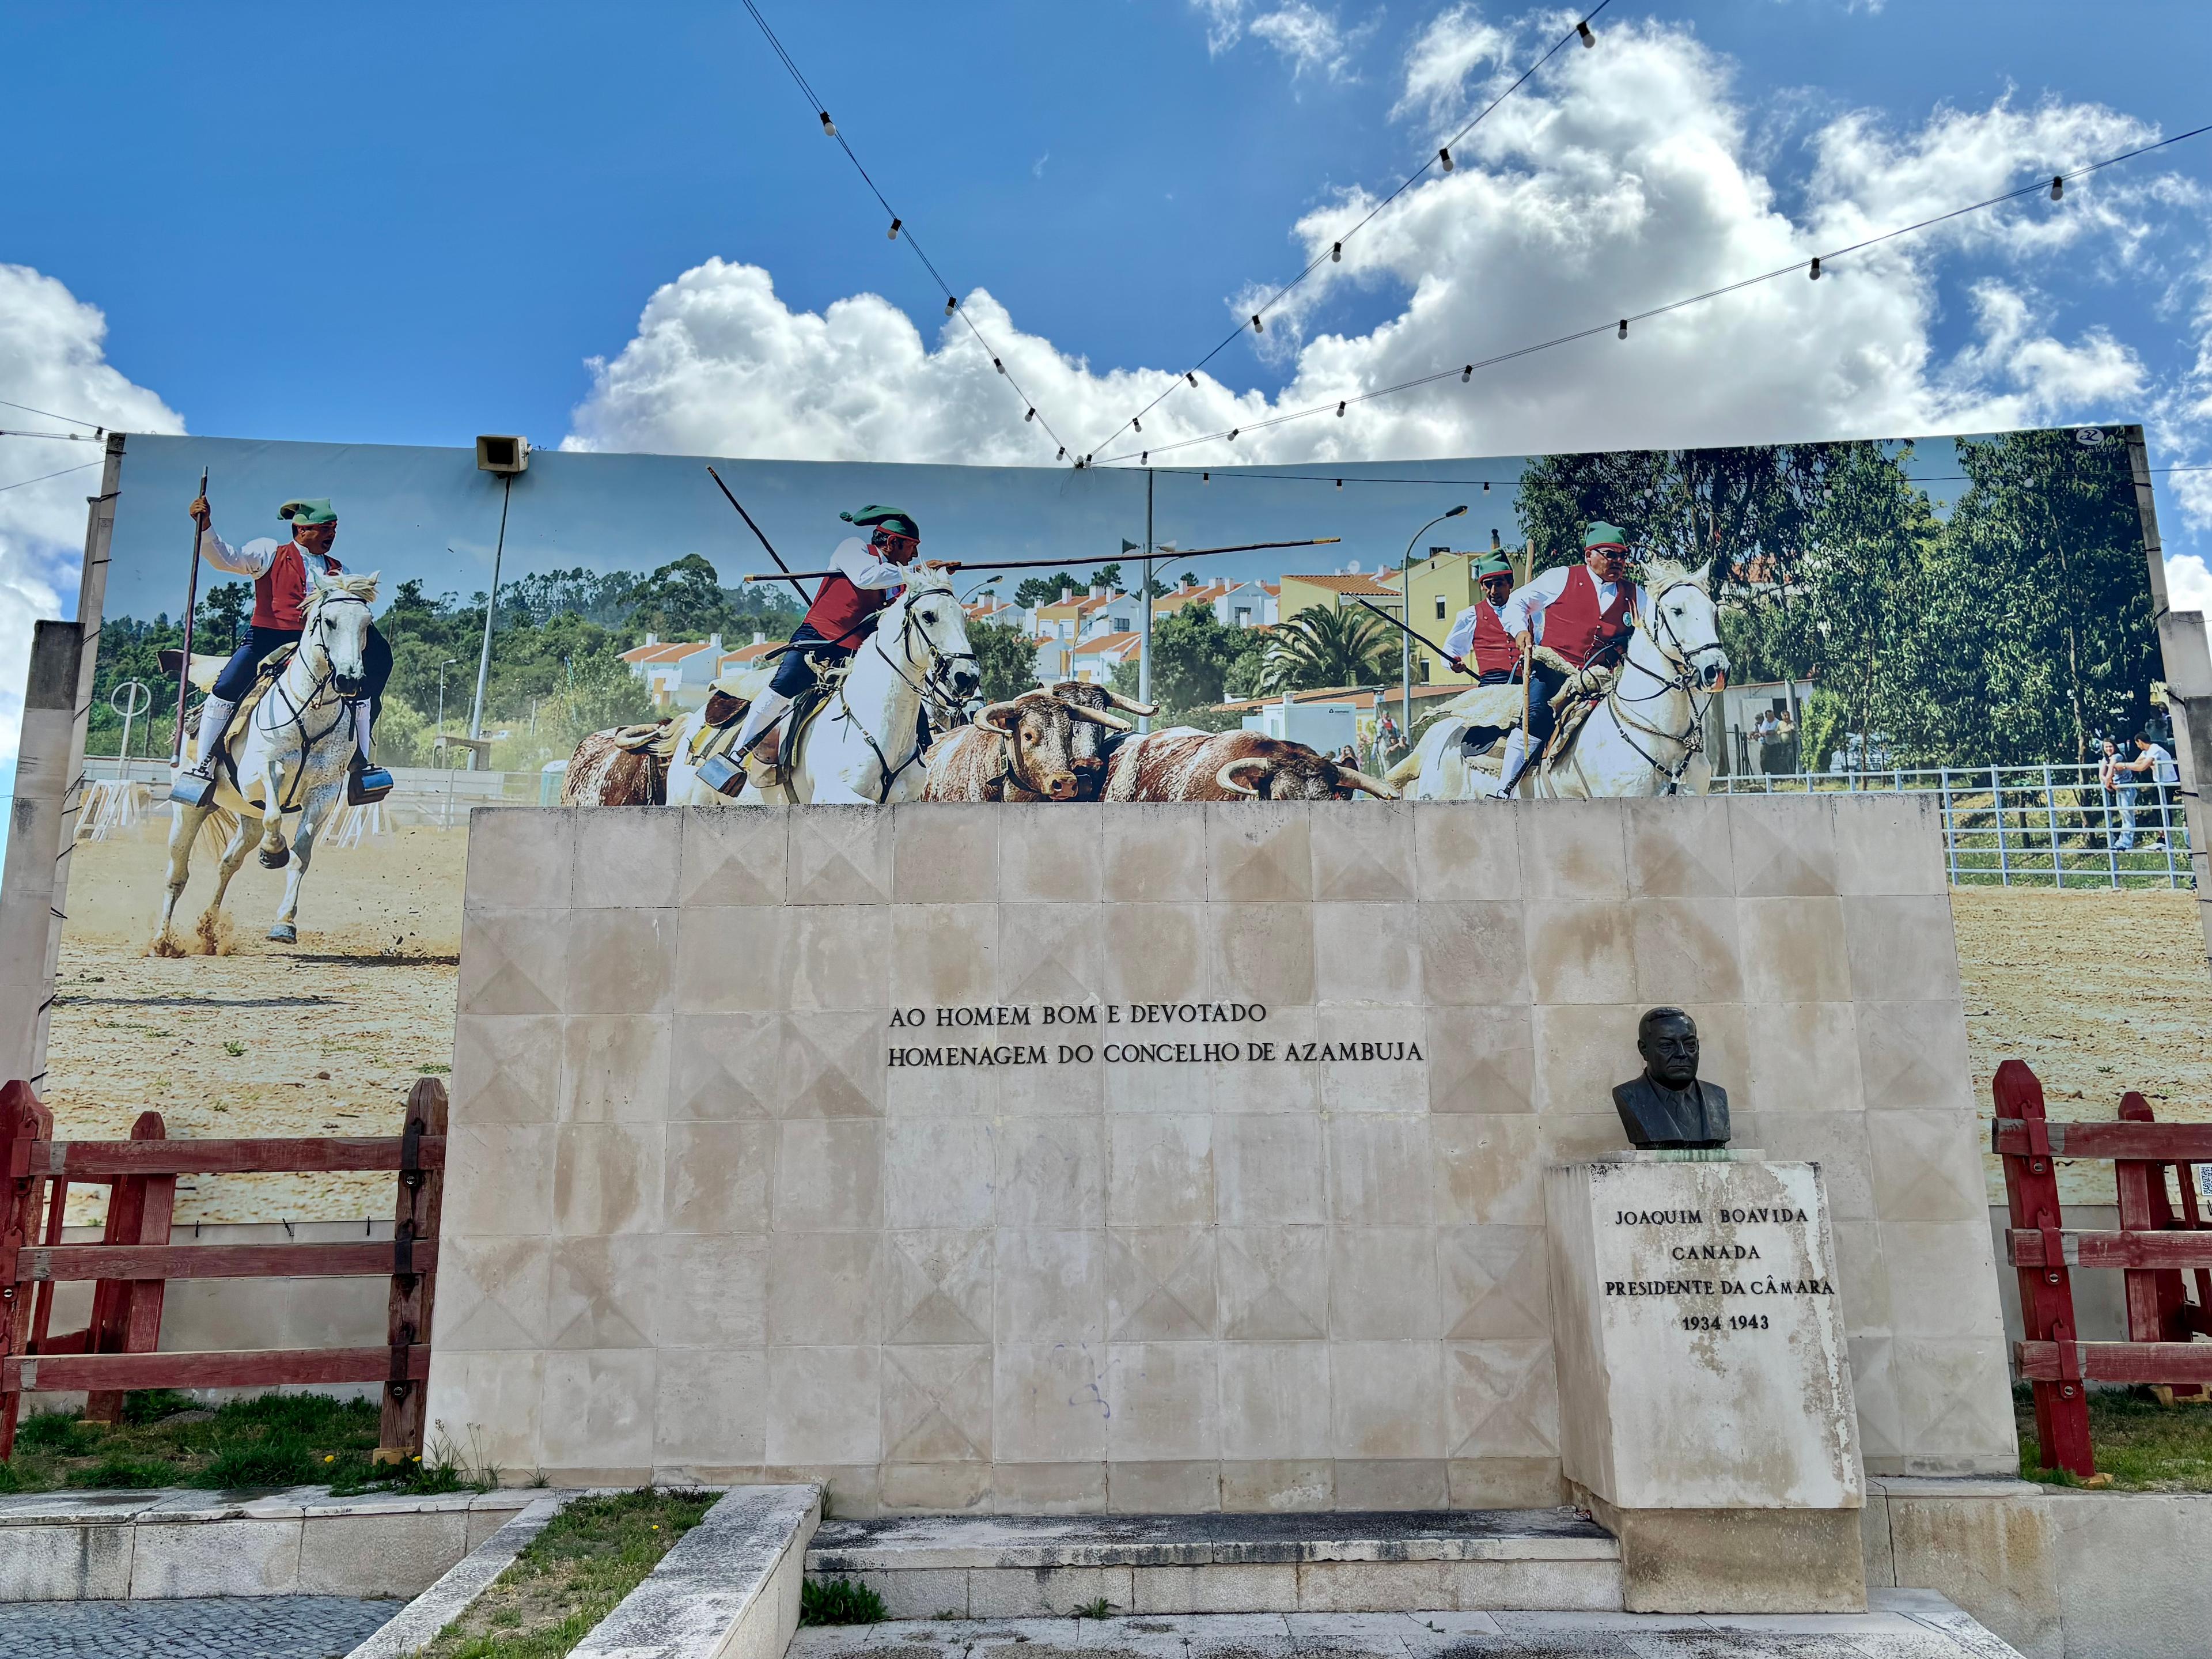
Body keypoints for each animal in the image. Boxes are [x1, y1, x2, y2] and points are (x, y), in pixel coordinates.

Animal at [160, 575, 378, 946]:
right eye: (329, 621)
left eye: (366, 624)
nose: (350, 680)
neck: (310, 711)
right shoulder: (258, 775)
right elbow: (276, 816)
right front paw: (273, 851)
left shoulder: (323, 793)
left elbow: (301, 855)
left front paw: (285, 923)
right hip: (190, 811)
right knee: (178, 873)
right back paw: (161, 941)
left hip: (246, 816)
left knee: (228, 862)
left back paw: (207, 930)